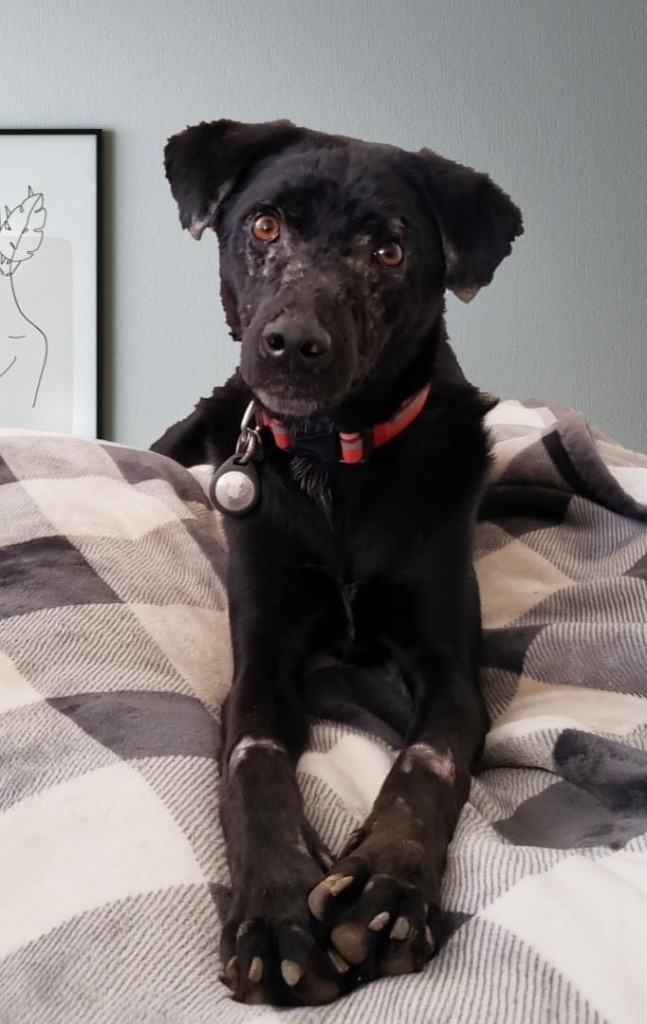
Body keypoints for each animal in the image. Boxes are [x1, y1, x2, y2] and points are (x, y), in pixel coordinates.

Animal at [154, 121, 524, 1007]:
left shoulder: (449, 667)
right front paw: (275, 910)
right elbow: (252, 759)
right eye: (263, 226)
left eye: (387, 250)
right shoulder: (260, 653)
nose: (292, 345)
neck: (335, 463)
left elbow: (426, 761)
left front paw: (387, 887)